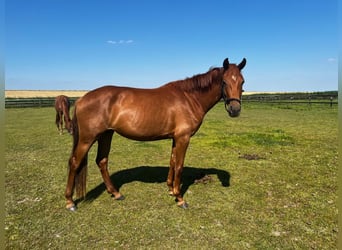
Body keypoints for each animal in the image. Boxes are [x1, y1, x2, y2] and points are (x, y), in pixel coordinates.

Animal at [65, 57, 246, 210]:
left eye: (242, 81)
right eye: (224, 81)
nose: (235, 110)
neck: (189, 98)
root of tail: (81, 99)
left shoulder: (176, 138)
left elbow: (172, 161)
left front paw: (171, 190)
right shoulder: (183, 138)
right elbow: (179, 165)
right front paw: (180, 198)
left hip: (106, 135)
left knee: (102, 161)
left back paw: (116, 193)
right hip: (87, 139)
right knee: (74, 162)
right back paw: (70, 202)